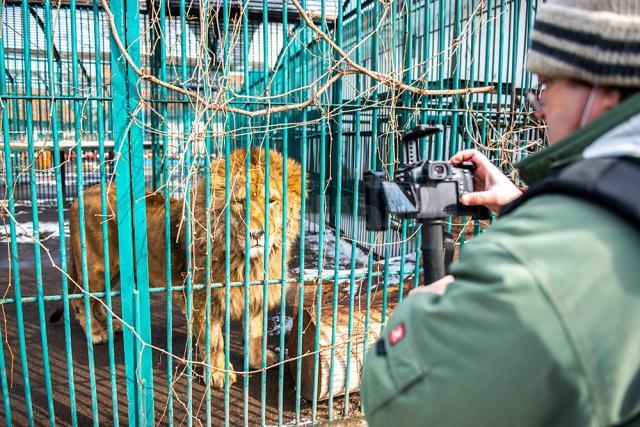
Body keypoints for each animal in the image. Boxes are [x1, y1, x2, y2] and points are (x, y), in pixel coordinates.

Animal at [53, 150, 304, 388]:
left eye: (272, 201)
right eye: (240, 202)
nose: (257, 234)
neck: (246, 260)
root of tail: (82, 195)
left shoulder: (256, 293)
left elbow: (255, 333)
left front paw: (259, 361)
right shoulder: (203, 297)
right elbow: (213, 340)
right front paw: (217, 373)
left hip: (114, 271)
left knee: (97, 301)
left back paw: (112, 325)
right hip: (97, 268)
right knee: (80, 300)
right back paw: (97, 332)